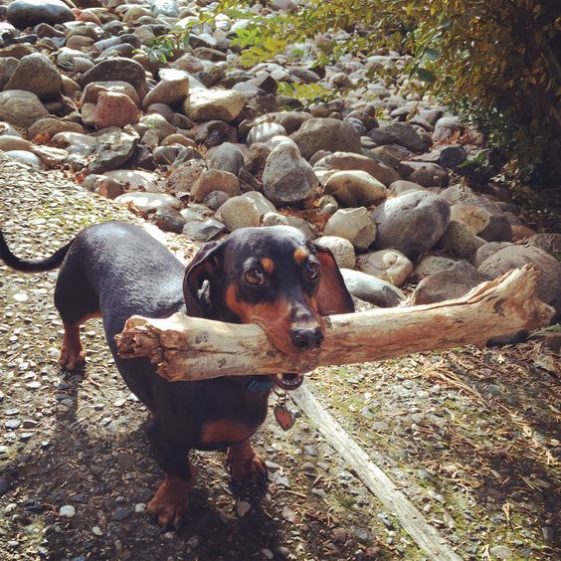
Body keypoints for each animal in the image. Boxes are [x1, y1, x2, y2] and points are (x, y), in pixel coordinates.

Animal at [0, 222, 352, 524]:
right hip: (74, 299)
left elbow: (242, 437)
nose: (310, 336)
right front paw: (170, 504)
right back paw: (71, 352)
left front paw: (244, 460)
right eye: (254, 275)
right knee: (70, 322)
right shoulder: (163, 436)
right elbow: (181, 472)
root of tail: (94, 226)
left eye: (312, 269)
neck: (231, 378)